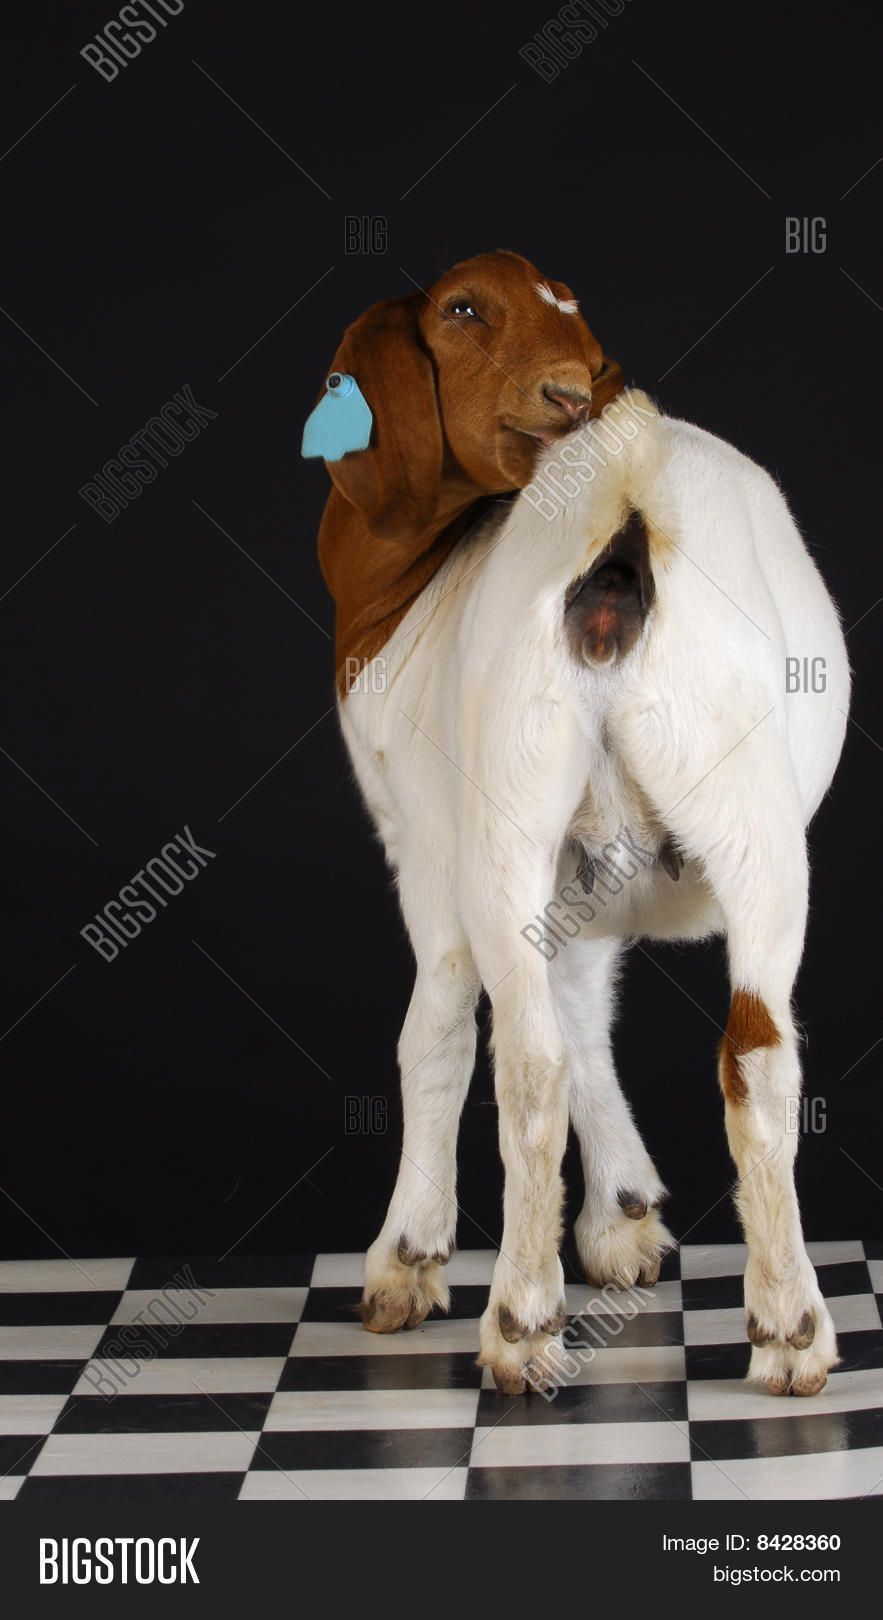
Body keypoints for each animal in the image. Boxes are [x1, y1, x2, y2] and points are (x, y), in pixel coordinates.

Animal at [307, 249, 849, 1397]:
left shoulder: (424, 840)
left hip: (508, 823)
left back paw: (534, 1318)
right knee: (735, 1055)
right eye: (463, 310)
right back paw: (773, 1329)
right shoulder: (575, 871)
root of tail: (624, 485)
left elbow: (434, 1026)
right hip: (738, 821)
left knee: (536, 1055)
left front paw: (405, 1258)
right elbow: (586, 1007)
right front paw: (624, 1218)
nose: (566, 396)